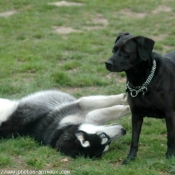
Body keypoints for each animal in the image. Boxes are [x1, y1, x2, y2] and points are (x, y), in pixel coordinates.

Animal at [106, 32, 175, 163]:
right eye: (113, 50)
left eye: (125, 51)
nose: (107, 63)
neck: (141, 82)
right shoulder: (136, 115)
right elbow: (134, 139)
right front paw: (130, 158)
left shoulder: (170, 114)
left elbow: (170, 137)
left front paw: (170, 157)